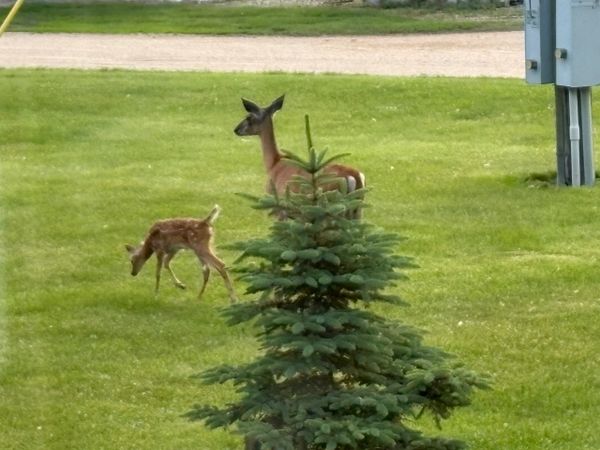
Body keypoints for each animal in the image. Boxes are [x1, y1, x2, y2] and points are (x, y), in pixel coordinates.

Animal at [233, 95, 365, 218]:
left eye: (248, 117)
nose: (236, 129)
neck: (274, 163)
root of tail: (353, 176)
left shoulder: (279, 208)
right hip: (357, 210)